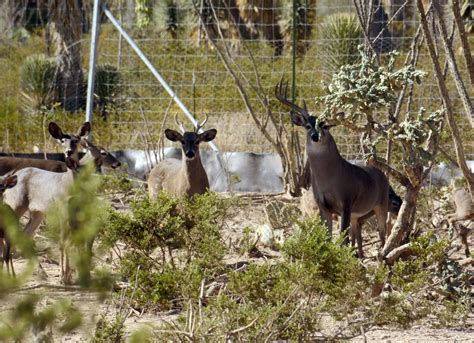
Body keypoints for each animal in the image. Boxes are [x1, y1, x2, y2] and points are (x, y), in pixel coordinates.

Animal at [274, 80, 388, 258]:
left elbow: (342, 239)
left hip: (382, 204)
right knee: (361, 233)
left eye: (325, 126)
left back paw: (381, 255)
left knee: (383, 232)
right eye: (307, 126)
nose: (315, 136)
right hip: (359, 214)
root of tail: (382, 175)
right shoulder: (323, 206)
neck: (329, 179)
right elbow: (327, 237)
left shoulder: (346, 201)